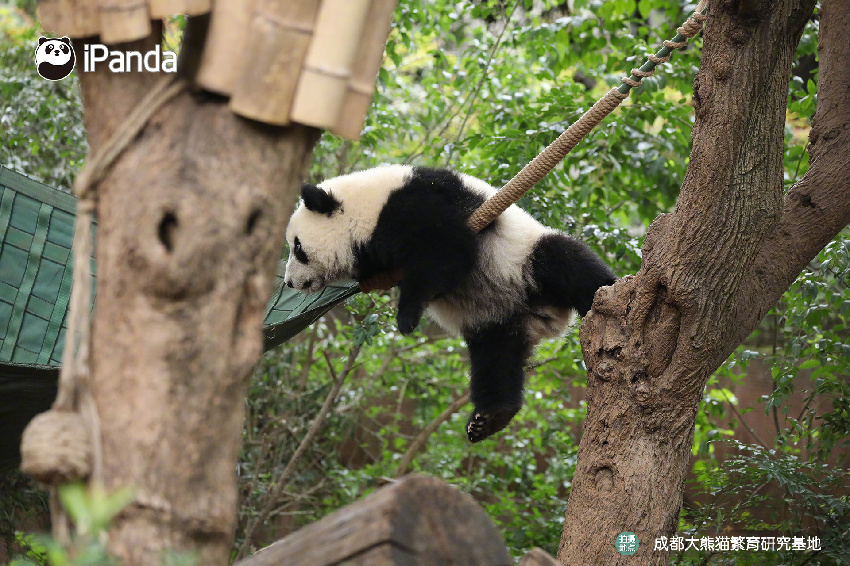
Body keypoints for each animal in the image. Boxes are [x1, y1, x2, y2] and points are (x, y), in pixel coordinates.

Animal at [282, 164, 612, 444]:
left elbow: (446, 249)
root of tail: (545, 318)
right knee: (495, 362)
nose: (288, 283)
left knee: (568, 264)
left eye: (298, 248)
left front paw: (407, 316)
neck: (367, 208)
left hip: (525, 258)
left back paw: (611, 296)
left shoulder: (419, 204)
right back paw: (490, 417)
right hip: (495, 324)